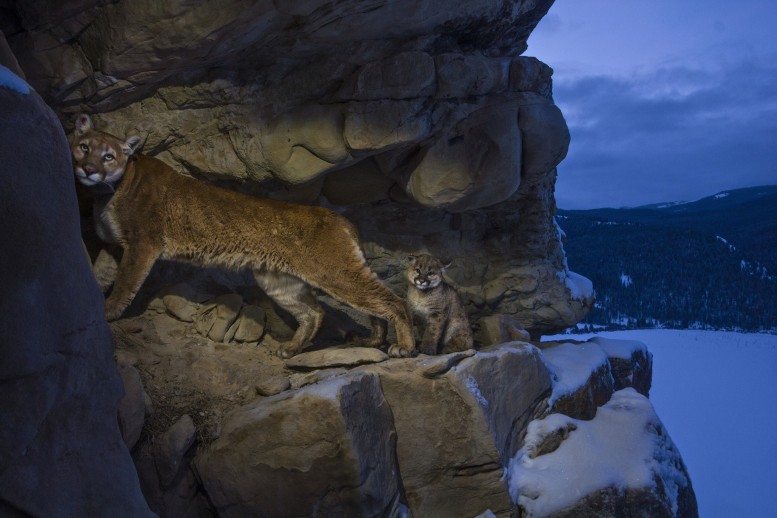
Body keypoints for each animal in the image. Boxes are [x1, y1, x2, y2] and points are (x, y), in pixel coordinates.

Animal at [69, 113, 416, 358]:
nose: (88, 169)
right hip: (279, 281)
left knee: (392, 300)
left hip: (332, 271)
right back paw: (299, 348)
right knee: (315, 312)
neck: (109, 192)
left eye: (109, 156)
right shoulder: (114, 246)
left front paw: (109, 312)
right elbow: (99, 274)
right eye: (84, 147)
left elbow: (125, 283)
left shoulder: (142, 244)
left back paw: (403, 346)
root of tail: (341, 219)